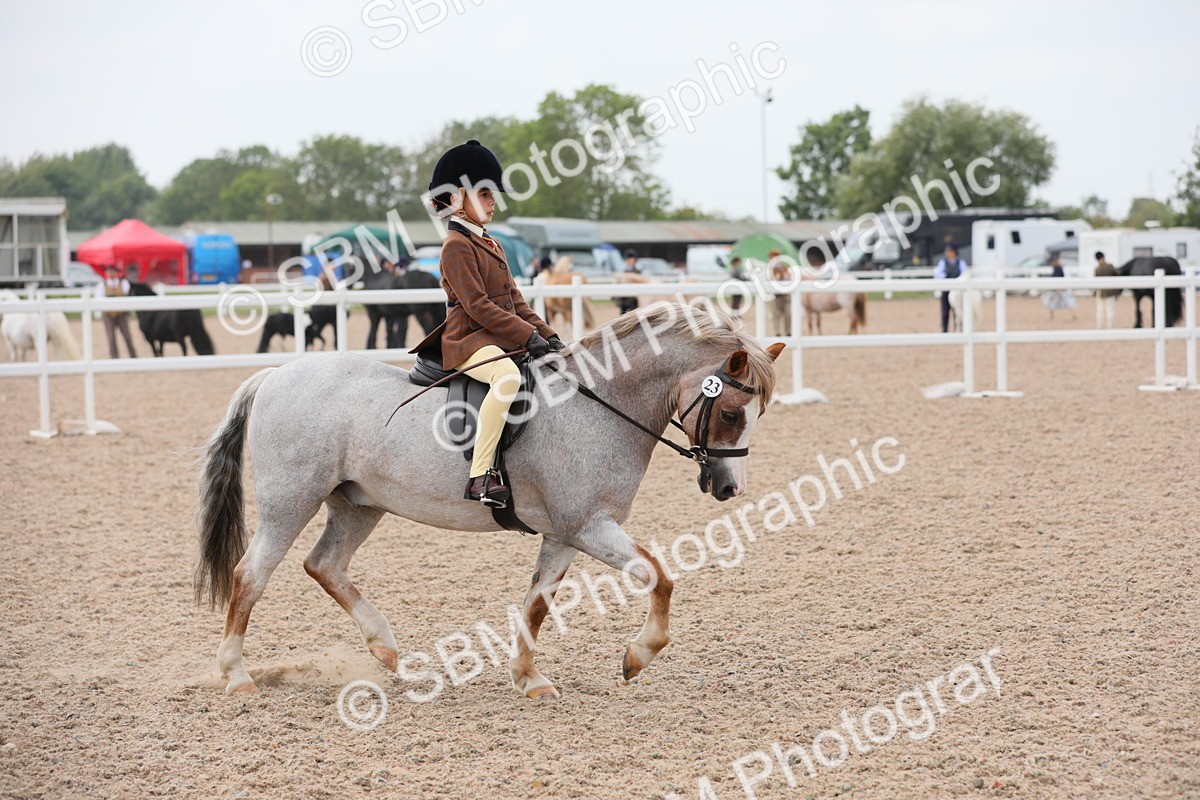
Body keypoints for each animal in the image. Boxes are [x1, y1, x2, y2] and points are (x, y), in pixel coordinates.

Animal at [194, 303, 785, 697]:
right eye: (730, 412)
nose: (730, 488)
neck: (599, 404)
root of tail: (276, 375)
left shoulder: (565, 534)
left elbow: (538, 603)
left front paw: (529, 678)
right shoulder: (590, 527)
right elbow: (660, 577)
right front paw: (637, 657)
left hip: (359, 504)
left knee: (324, 564)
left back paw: (386, 647)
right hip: (291, 502)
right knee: (251, 575)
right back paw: (238, 676)